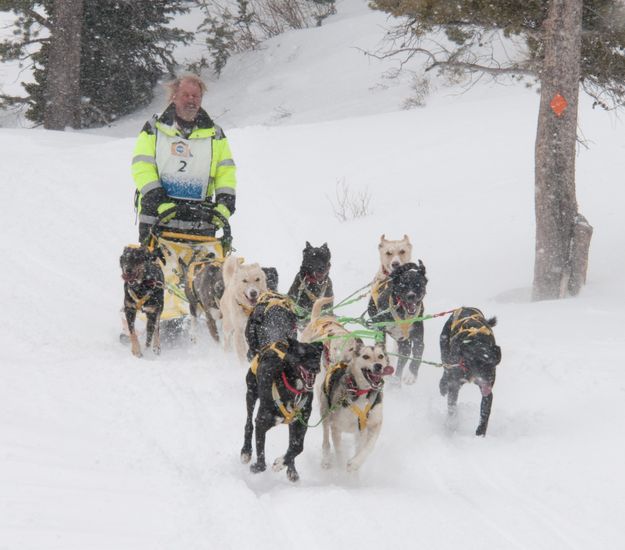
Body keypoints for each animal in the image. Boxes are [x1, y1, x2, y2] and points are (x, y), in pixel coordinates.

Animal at [241, 336, 324, 484]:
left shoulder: (301, 423)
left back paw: (291, 470)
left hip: (292, 423)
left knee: (292, 443)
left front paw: (280, 463)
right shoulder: (261, 422)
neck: (293, 388)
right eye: (302, 355)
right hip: (251, 392)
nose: (315, 368)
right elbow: (261, 456)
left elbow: (298, 447)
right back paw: (246, 451)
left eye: (316, 355)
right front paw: (257, 467)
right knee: (248, 423)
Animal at [322, 342, 390, 472]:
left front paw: (354, 464)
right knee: (326, 440)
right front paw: (342, 471)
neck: (362, 391)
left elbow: (368, 448)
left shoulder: (374, 425)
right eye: (365, 356)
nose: (378, 366)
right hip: (325, 414)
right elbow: (339, 453)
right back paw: (326, 460)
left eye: (380, 356)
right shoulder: (336, 426)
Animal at [438, 308, 502, 438]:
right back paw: (442, 385)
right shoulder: (454, 384)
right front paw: (452, 425)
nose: (489, 379)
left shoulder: (487, 392)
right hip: (445, 351)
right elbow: (452, 407)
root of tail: (465, 307)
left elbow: (484, 413)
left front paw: (480, 434)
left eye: (492, 365)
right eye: (479, 365)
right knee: (446, 371)